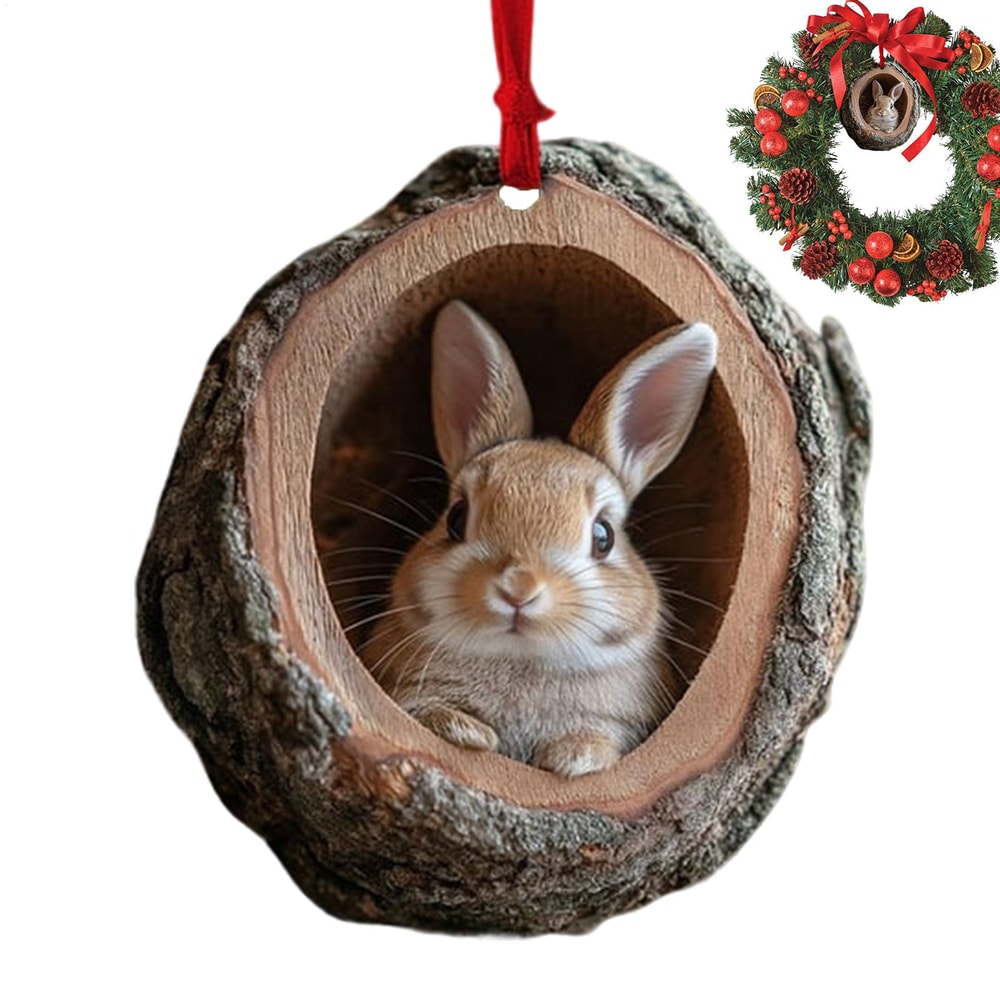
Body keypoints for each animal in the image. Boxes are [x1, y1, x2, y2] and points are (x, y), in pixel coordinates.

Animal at [364, 300, 717, 777]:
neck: (521, 658)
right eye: (457, 518)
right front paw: (468, 732)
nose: (519, 589)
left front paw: (574, 756)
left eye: (603, 536)